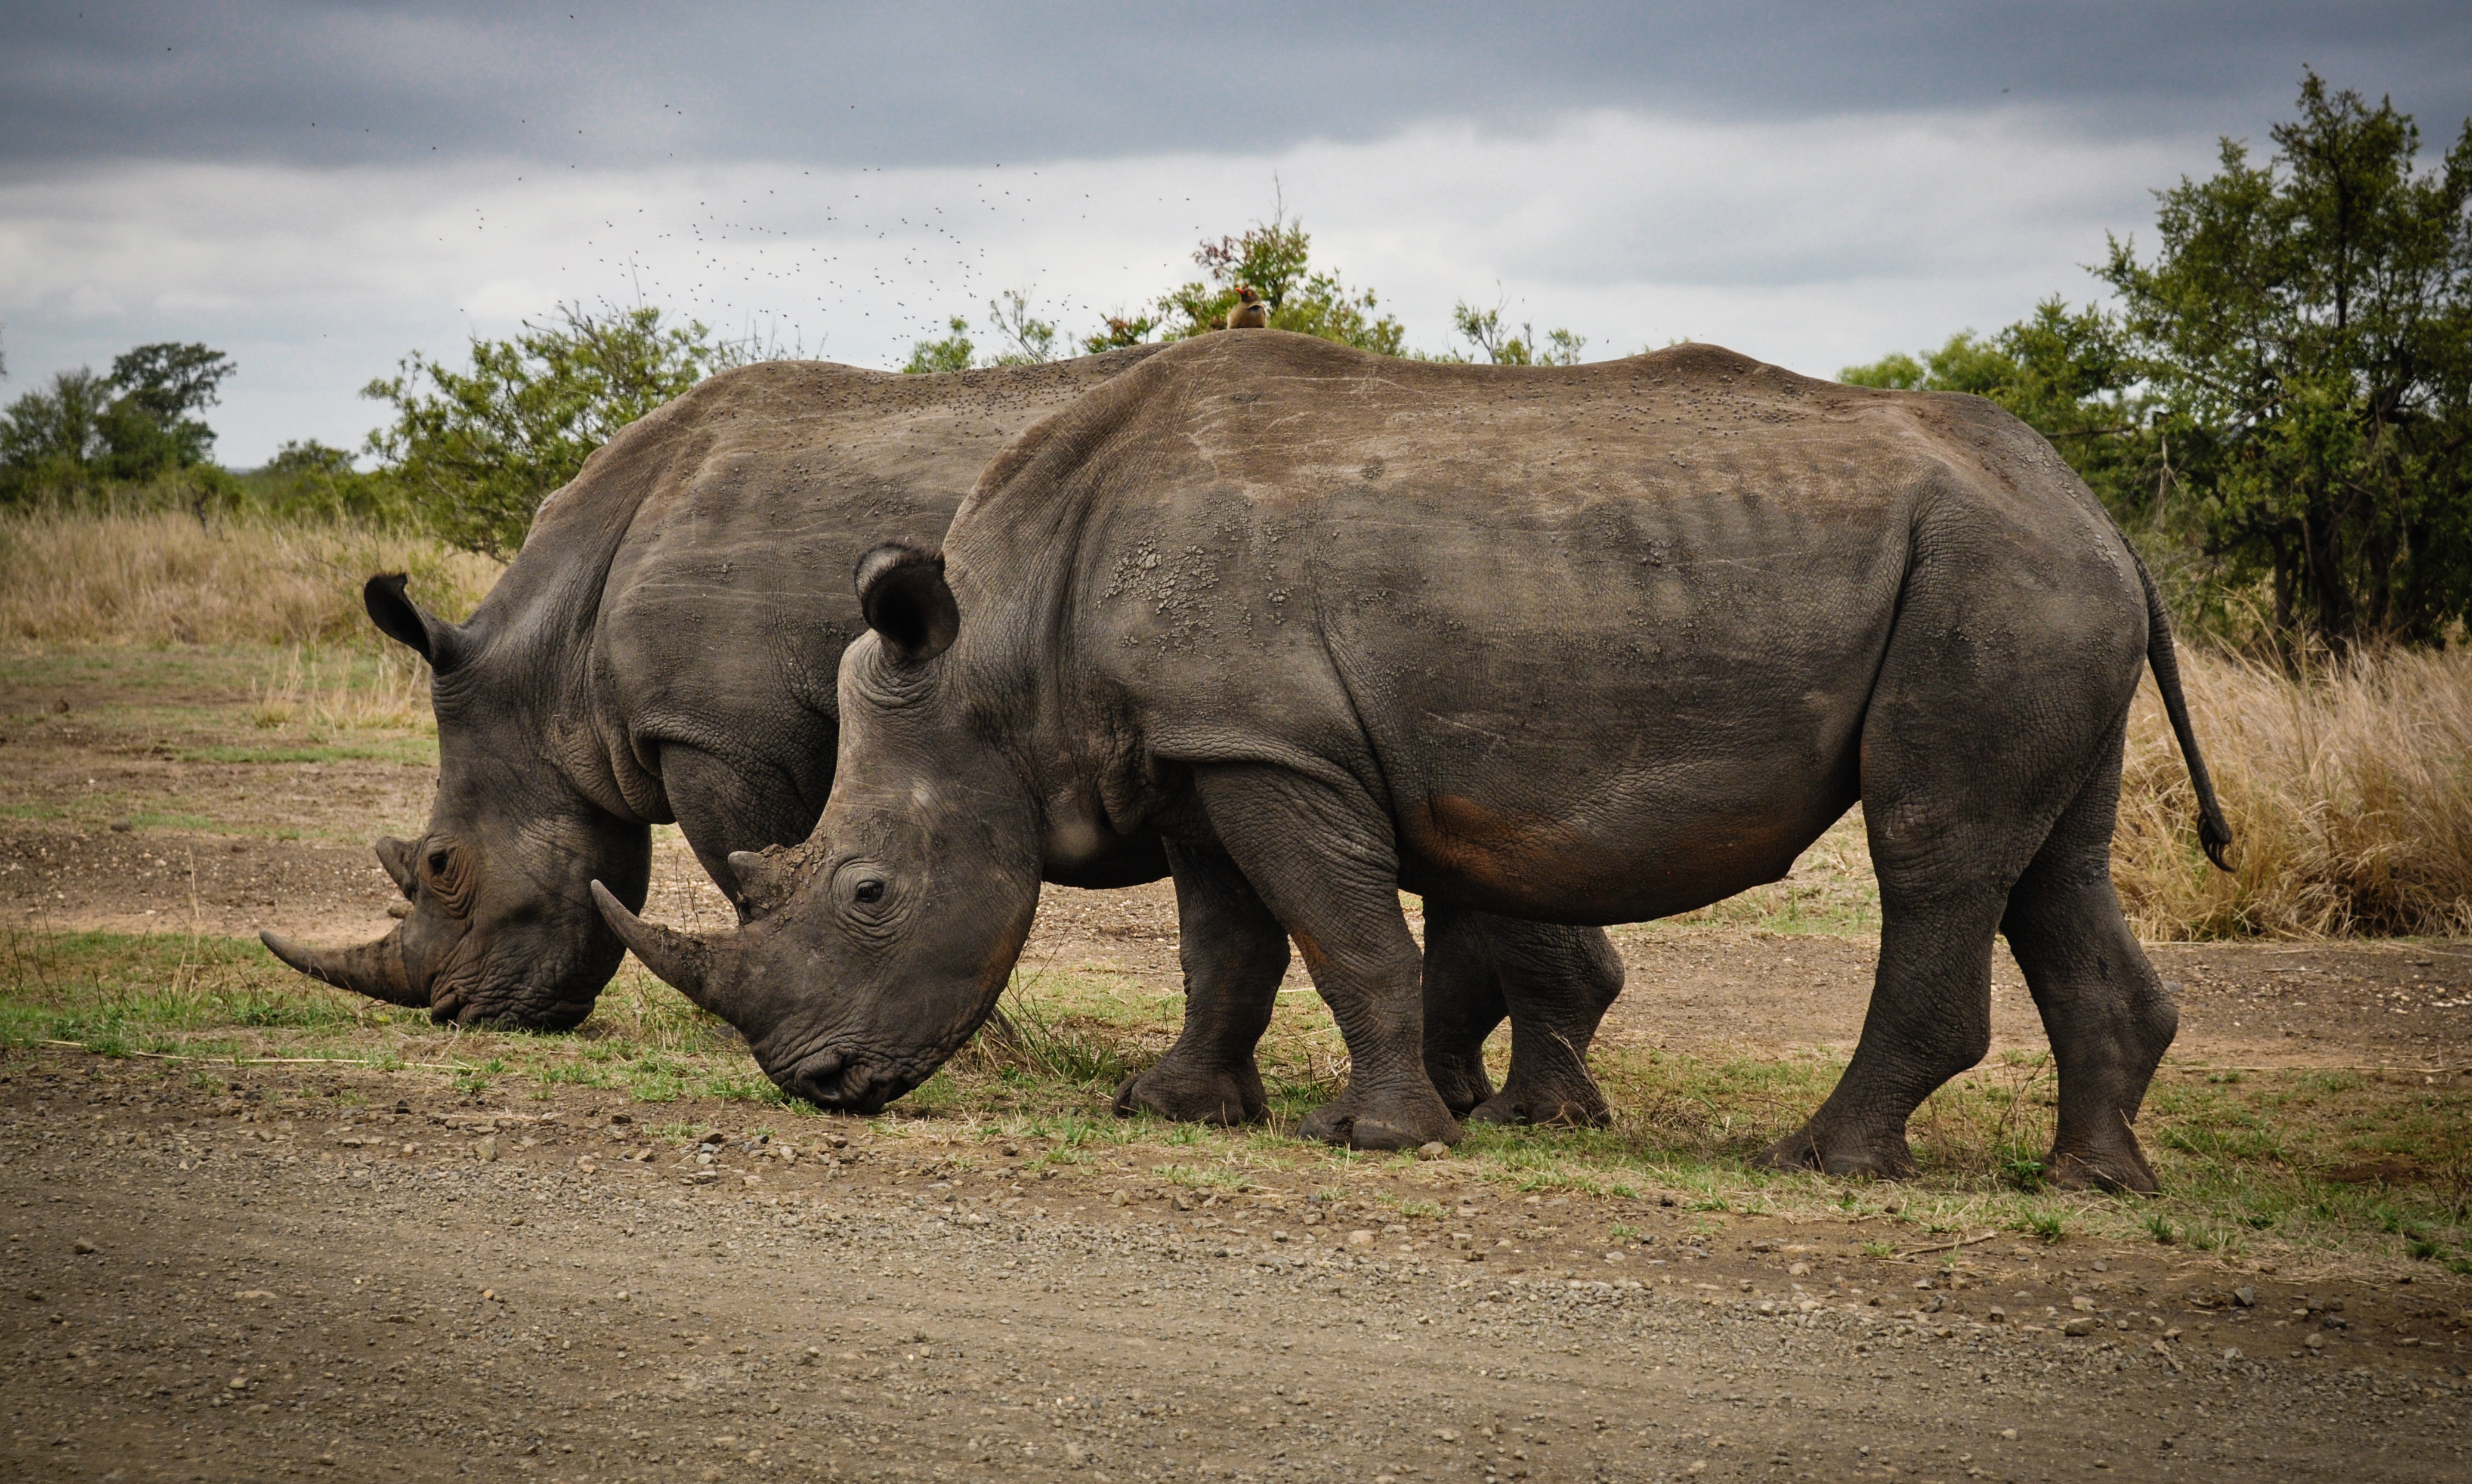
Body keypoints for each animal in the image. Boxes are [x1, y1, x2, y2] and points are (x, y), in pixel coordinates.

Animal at [259, 348, 1624, 1128]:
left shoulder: (719, 734)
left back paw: (1512, 1108)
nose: (454, 1012)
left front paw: (980, 1050)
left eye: (443, 867)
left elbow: (755, 866)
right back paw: (1487, 1098)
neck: (554, 659)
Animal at [594, 331, 2231, 1184]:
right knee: (2048, 859)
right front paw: (1174, 1108)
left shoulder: (1274, 748)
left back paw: (1821, 1160)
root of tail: (2102, 518)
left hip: (1992, 586)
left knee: (1933, 850)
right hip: (2027, 584)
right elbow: (1228, 941)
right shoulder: (1208, 746)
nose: (817, 1081)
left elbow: (1341, 932)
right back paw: (2092, 1178)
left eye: (866, 892)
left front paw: (1382, 1137)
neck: (1002, 651)